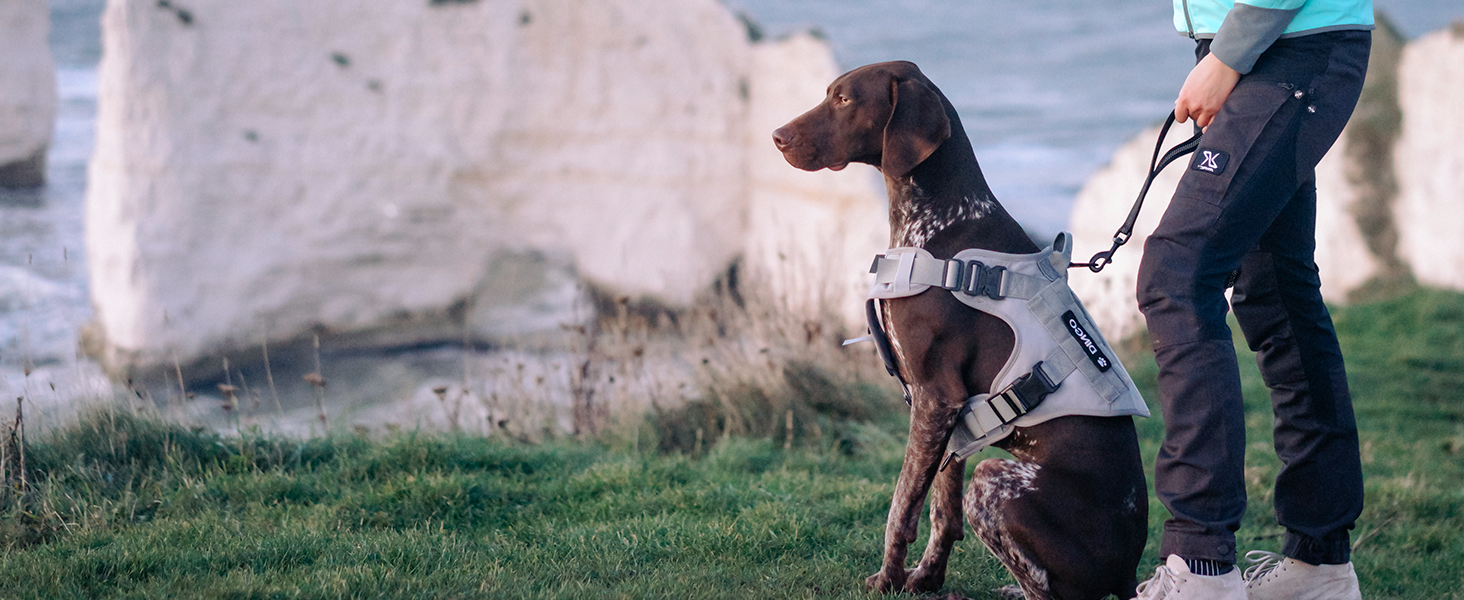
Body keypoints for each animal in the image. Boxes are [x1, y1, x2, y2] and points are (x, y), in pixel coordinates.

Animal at [772, 59, 1147, 600]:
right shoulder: (953, 413)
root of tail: (1128, 570)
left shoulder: (935, 396)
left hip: (995, 481)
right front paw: (924, 580)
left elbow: (901, 506)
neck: (941, 225)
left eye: (845, 100)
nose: (777, 137)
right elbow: (941, 511)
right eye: (829, 94)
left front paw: (887, 580)